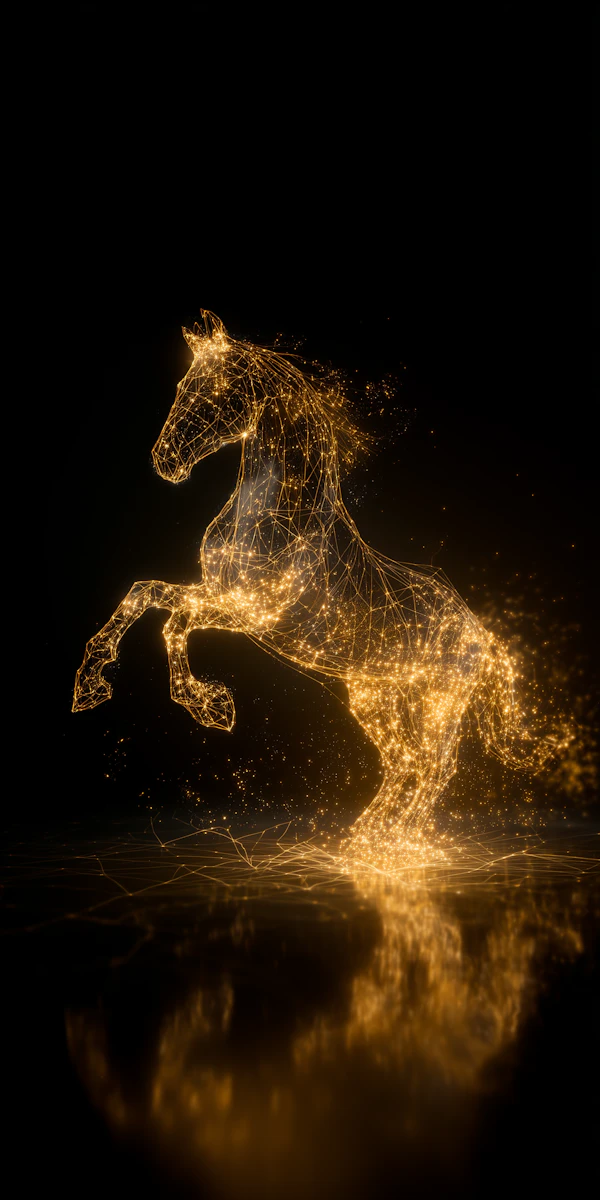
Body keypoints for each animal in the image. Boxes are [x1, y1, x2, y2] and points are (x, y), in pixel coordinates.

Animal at [73, 311, 557, 846]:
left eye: (216, 390)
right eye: (182, 385)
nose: (166, 462)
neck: (275, 515)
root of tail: (481, 636)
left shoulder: (251, 612)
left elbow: (173, 621)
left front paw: (211, 707)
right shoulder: (220, 594)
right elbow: (144, 593)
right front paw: (91, 684)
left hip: (438, 704)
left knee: (435, 767)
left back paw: (390, 842)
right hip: (376, 697)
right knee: (405, 763)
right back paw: (363, 836)